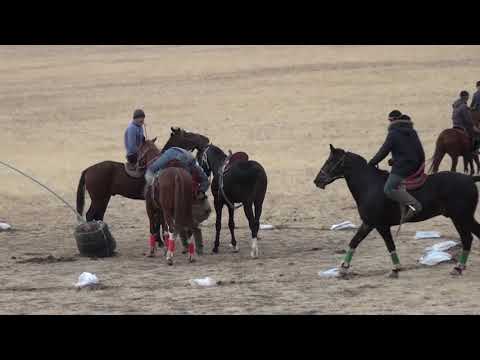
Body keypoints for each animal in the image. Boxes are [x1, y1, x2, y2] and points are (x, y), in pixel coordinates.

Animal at [76, 126, 209, 222]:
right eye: (188, 134)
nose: (206, 139)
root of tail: (88, 169)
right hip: (98, 199)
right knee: (90, 215)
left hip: (104, 198)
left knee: (98, 215)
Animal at [314, 145, 480, 278]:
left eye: (330, 161)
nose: (317, 181)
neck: (369, 185)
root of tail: (470, 179)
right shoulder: (368, 224)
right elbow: (354, 241)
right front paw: (343, 268)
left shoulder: (380, 226)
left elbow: (390, 245)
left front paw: (395, 269)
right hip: (462, 218)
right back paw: (459, 267)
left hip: (461, 218)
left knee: (467, 239)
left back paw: (458, 268)